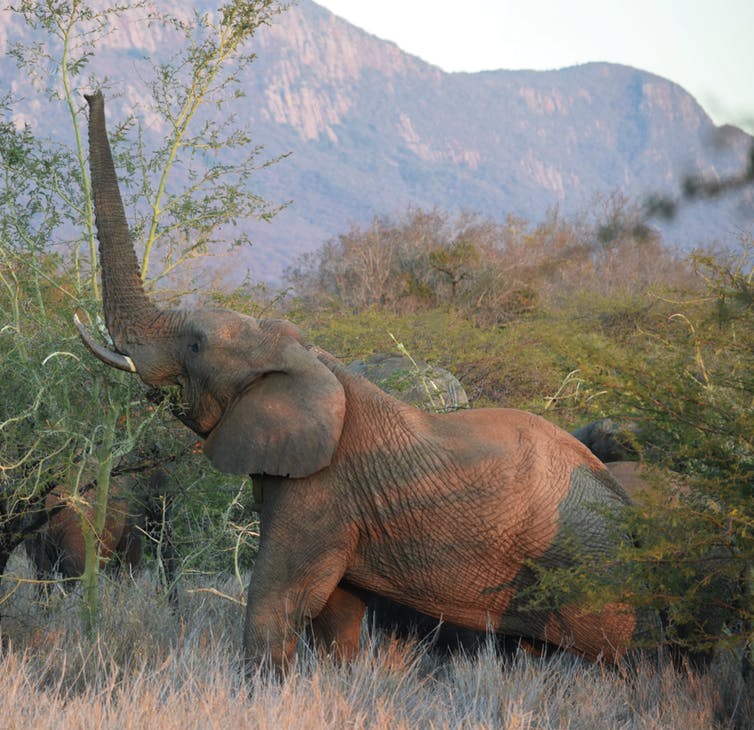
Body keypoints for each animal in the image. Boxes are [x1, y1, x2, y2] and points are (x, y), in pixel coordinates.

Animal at [73, 92, 656, 672]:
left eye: (195, 345)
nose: (91, 93)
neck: (307, 357)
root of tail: (630, 514)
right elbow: (338, 609)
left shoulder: (322, 489)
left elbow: (280, 598)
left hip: (589, 570)